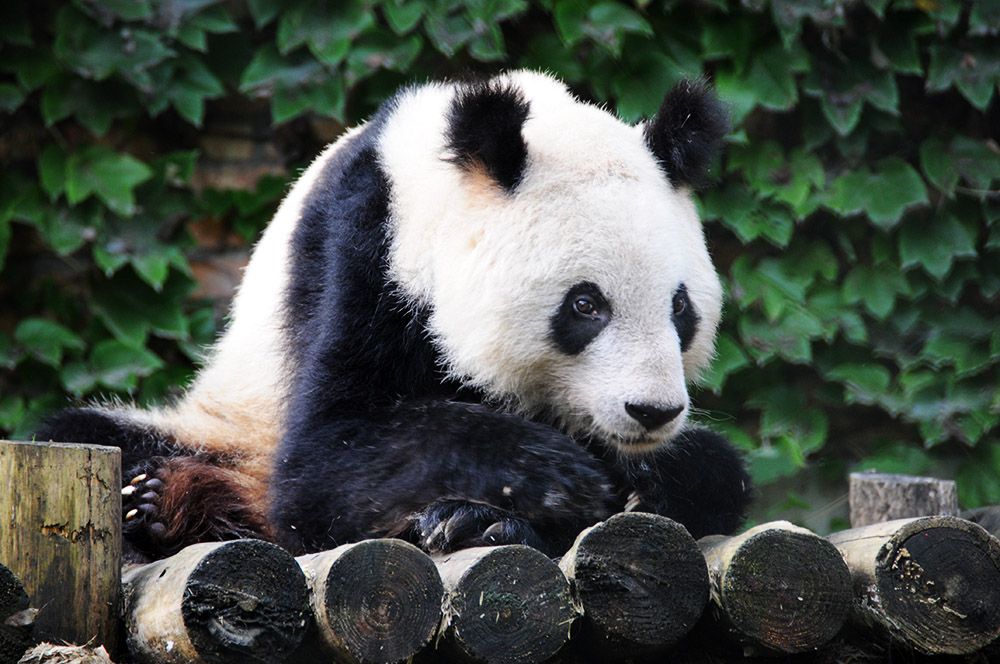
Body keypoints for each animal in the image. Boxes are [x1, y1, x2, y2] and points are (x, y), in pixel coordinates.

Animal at [38, 70, 752, 561]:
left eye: (680, 308)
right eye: (585, 305)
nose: (652, 411)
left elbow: (715, 474)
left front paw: (634, 480)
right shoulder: (363, 250)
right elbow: (326, 456)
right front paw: (550, 474)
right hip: (225, 424)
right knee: (93, 435)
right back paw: (166, 502)